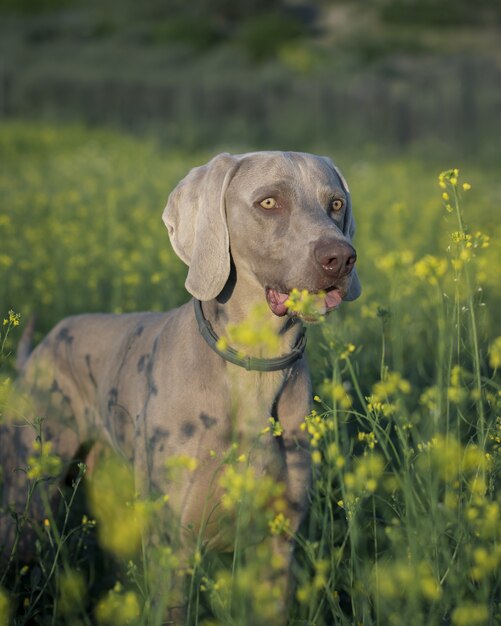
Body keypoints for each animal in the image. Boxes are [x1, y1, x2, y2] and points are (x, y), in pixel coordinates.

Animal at [0, 151, 360, 620]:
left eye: (335, 204)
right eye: (268, 203)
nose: (341, 258)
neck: (254, 368)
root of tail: (40, 349)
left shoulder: (278, 546)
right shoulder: (174, 546)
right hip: (29, 493)